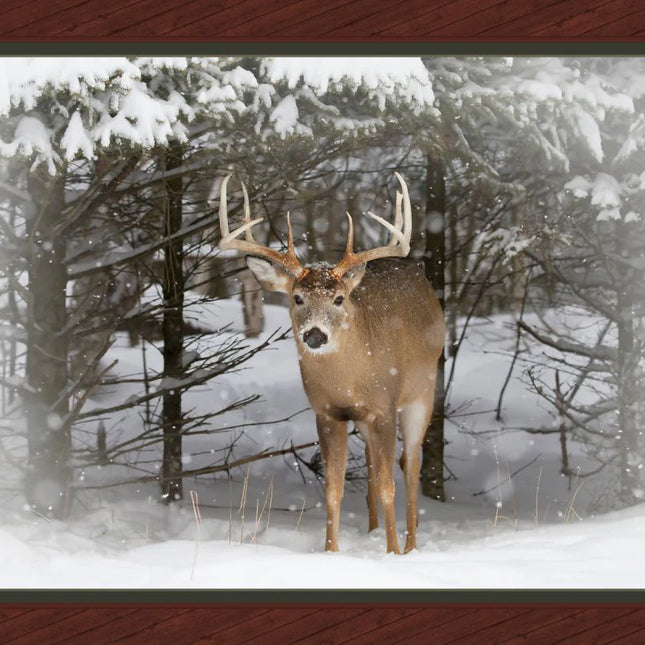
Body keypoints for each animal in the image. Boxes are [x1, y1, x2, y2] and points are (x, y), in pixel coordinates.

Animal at [218, 173, 445, 554]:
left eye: (338, 299)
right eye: (297, 298)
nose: (314, 334)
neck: (349, 380)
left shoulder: (384, 407)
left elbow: (389, 486)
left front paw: (392, 553)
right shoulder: (328, 412)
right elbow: (333, 488)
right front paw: (331, 551)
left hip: (421, 394)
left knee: (410, 463)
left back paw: (411, 544)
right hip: (365, 420)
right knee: (372, 465)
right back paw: (371, 531)